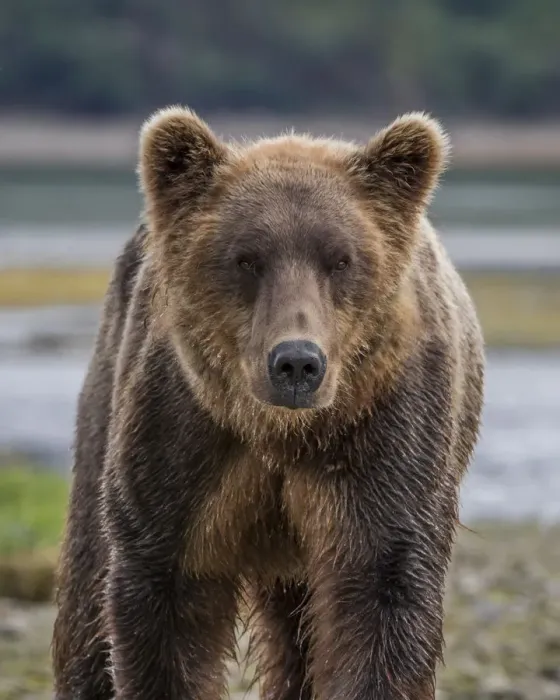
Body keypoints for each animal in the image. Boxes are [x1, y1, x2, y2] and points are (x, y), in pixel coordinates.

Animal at [52, 106, 485, 700]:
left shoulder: (384, 436)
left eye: (341, 259)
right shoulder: (181, 439)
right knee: (88, 585)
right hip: (107, 391)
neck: (278, 432)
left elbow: (382, 590)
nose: (297, 363)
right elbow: (162, 597)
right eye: (246, 258)